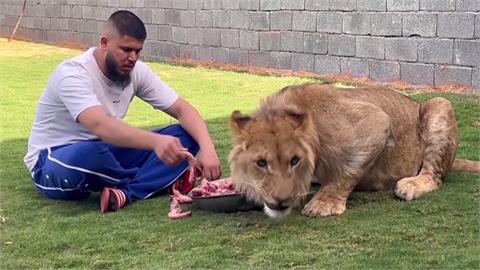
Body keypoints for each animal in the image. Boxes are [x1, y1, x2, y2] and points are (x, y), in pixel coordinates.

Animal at [230, 83, 480, 218]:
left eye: (294, 161)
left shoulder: (376, 121)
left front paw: (324, 204)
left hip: (440, 104)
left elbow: (346, 170)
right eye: (261, 163)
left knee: (433, 175)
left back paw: (412, 184)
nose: (280, 199)